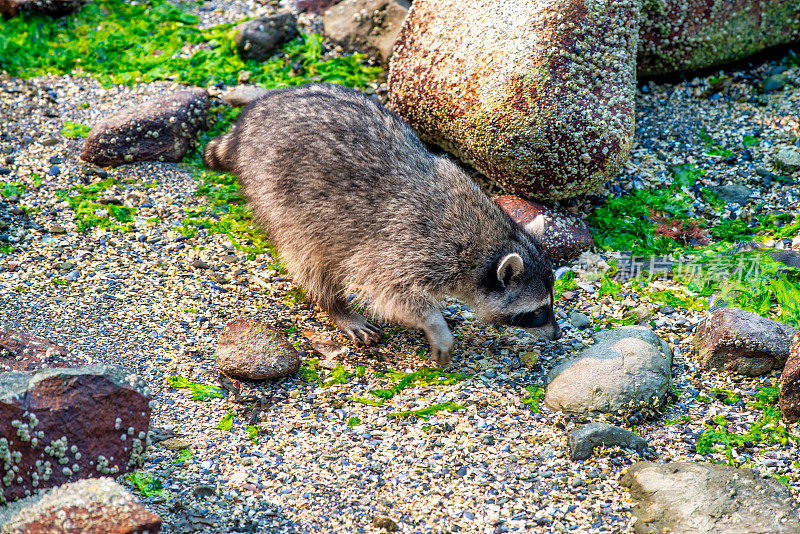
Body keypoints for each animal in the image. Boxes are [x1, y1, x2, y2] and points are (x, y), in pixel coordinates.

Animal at [203, 85, 560, 368]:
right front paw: (433, 323)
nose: (557, 334)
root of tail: (251, 121)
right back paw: (336, 306)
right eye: (537, 312)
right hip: (278, 195)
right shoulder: (411, 247)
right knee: (310, 259)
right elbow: (392, 293)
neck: (486, 240)